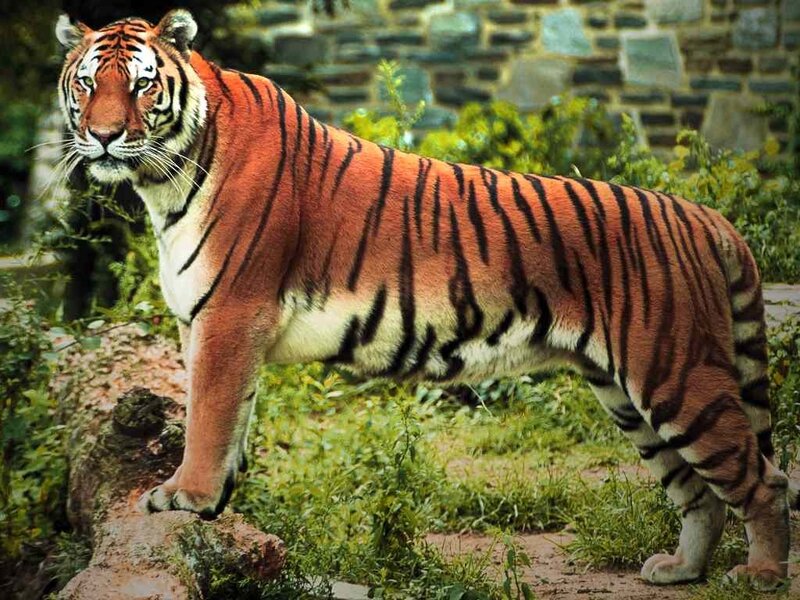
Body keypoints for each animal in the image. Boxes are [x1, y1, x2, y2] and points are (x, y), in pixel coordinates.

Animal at [55, 9, 797, 589]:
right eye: (88, 83)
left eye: (142, 83)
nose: (103, 135)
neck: (164, 179)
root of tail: (703, 215)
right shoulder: (208, 324)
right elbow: (229, 418)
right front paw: (214, 506)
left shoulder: (231, 315)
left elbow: (208, 418)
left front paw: (185, 497)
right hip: (626, 394)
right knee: (698, 492)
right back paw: (681, 570)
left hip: (676, 374)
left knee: (765, 481)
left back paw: (759, 574)